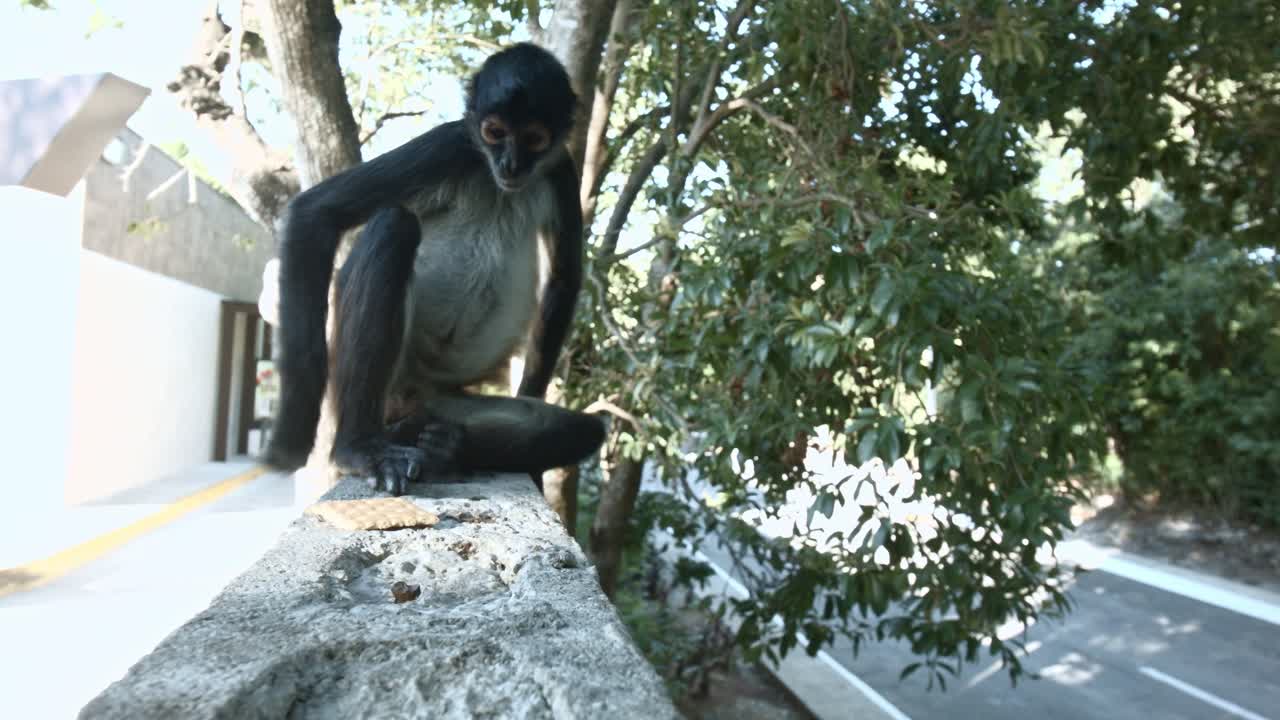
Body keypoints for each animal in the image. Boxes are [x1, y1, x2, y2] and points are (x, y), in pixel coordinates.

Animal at [262, 43, 605, 495]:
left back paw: (444, 447)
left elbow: (564, 279)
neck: (497, 183)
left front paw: (528, 396)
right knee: (394, 225)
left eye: (534, 139)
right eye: (494, 133)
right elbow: (316, 212)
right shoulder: (450, 144)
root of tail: (413, 398)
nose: (511, 165)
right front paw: (290, 438)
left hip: (448, 402)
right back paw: (359, 447)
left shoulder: (560, 168)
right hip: (390, 386)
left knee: (583, 430)